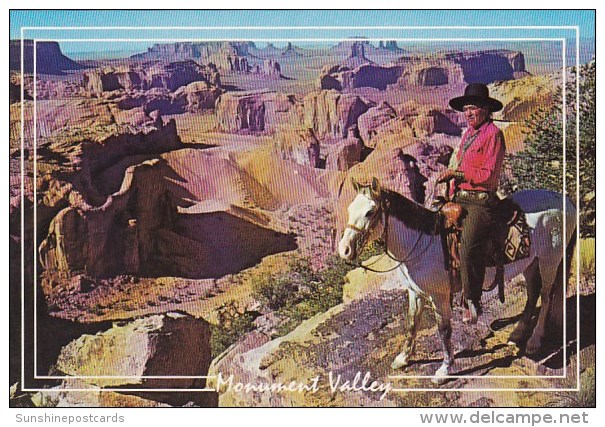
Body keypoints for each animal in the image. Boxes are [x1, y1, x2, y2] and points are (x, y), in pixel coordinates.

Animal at [340, 177, 576, 382]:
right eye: (349, 210)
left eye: (370, 212)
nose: (344, 250)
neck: (423, 244)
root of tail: (565, 200)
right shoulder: (415, 293)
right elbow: (412, 323)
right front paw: (403, 358)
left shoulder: (439, 296)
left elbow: (444, 331)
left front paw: (444, 369)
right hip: (530, 263)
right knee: (533, 294)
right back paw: (517, 334)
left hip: (549, 260)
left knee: (546, 296)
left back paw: (534, 341)